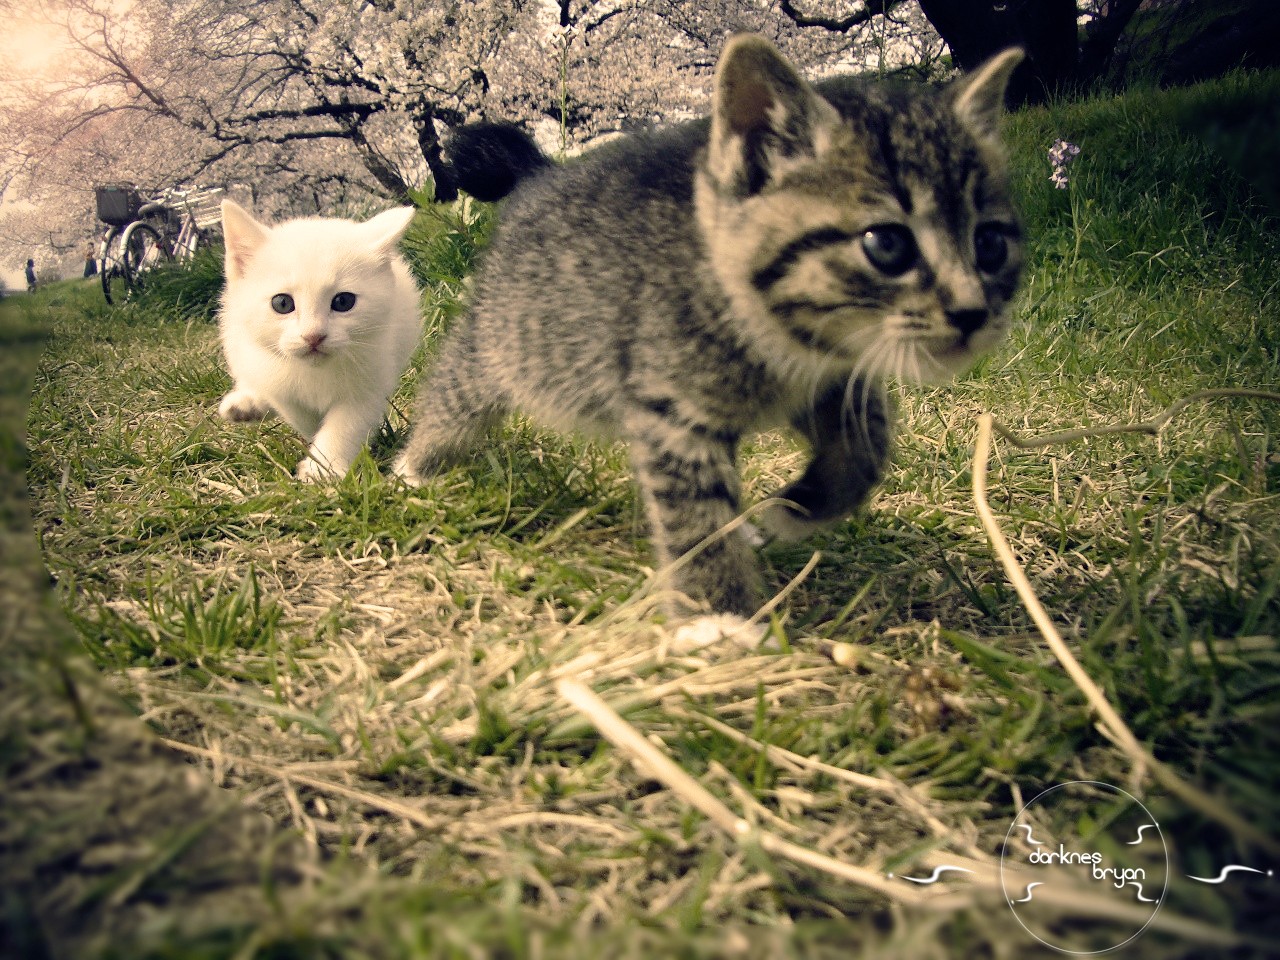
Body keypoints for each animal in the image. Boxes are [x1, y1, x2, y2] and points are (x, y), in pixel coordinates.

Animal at [217, 200, 422, 481]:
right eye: (282, 304)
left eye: (343, 301)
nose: (313, 336)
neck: (315, 371)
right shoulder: (277, 382)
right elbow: (301, 415)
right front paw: (319, 460)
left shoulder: (369, 381)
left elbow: (345, 425)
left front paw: (324, 467)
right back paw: (246, 404)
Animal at [394, 33, 1024, 619]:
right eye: (887, 245)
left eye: (991, 245)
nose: (973, 313)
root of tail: (544, 175)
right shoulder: (674, 415)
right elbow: (695, 518)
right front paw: (720, 621)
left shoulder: (827, 380)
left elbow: (868, 443)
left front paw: (792, 511)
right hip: (504, 339)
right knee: (457, 390)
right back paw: (413, 470)